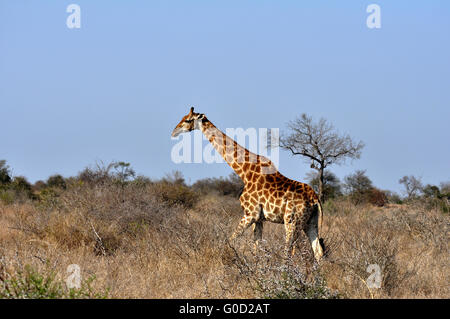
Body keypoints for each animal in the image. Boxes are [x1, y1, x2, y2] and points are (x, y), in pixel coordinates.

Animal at [171, 107, 324, 262]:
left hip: (292, 221)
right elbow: (256, 248)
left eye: (188, 120)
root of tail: (315, 199)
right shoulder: (259, 219)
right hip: (310, 222)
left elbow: (231, 239)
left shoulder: (250, 214)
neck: (244, 172)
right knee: (318, 252)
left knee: (289, 251)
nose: (173, 132)